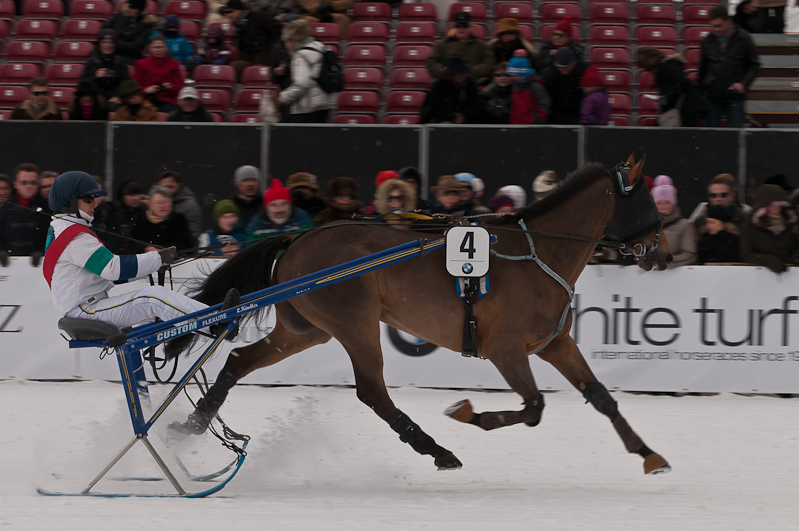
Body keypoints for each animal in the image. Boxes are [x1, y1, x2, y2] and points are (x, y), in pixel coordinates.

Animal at [173, 152, 676, 476]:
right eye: (648, 202)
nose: (665, 255)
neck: (539, 252)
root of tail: (298, 238)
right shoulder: (507, 350)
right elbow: (533, 407)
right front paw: (467, 412)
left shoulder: (555, 343)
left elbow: (602, 398)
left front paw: (648, 454)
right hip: (355, 325)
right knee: (373, 392)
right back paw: (436, 448)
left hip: (306, 329)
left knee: (240, 360)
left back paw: (192, 423)